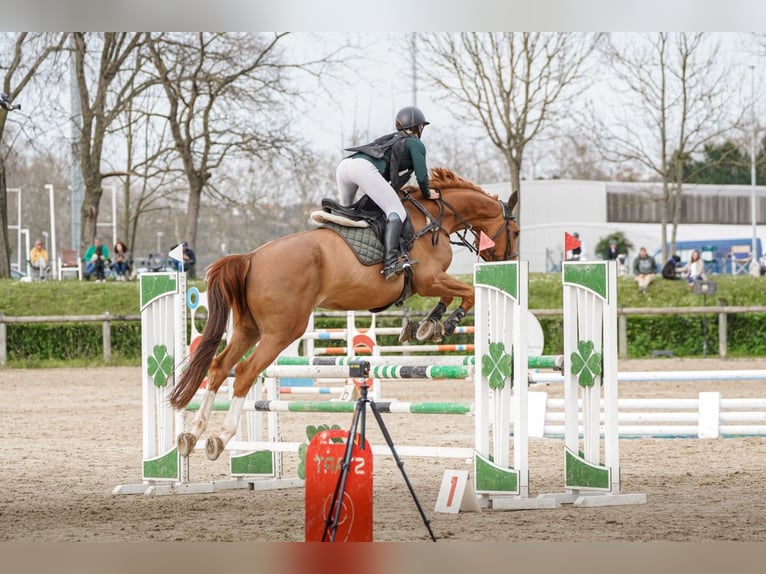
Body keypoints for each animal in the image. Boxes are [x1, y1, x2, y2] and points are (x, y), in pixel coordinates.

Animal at [166, 165, 516, 460]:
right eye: (515, 230)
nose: (507, 260)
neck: (433, 218)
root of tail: (251, 257)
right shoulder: (429, 280)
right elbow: (467, 293)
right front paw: (443, 325)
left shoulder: (430, 283)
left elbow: (454, 295)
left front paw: (426, 326)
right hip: (282, 331)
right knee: (245, 371)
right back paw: (221, 437)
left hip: (248, 329)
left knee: (219, 367)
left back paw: (193, 434)